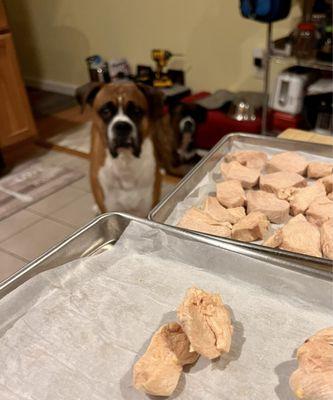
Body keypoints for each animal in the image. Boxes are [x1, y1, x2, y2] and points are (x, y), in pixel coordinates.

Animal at [75, 81, 163, 217]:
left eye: (136, 111)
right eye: (105, 111)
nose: (122, 126)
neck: (125, 161)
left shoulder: (146, 210)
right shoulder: (110, 211)